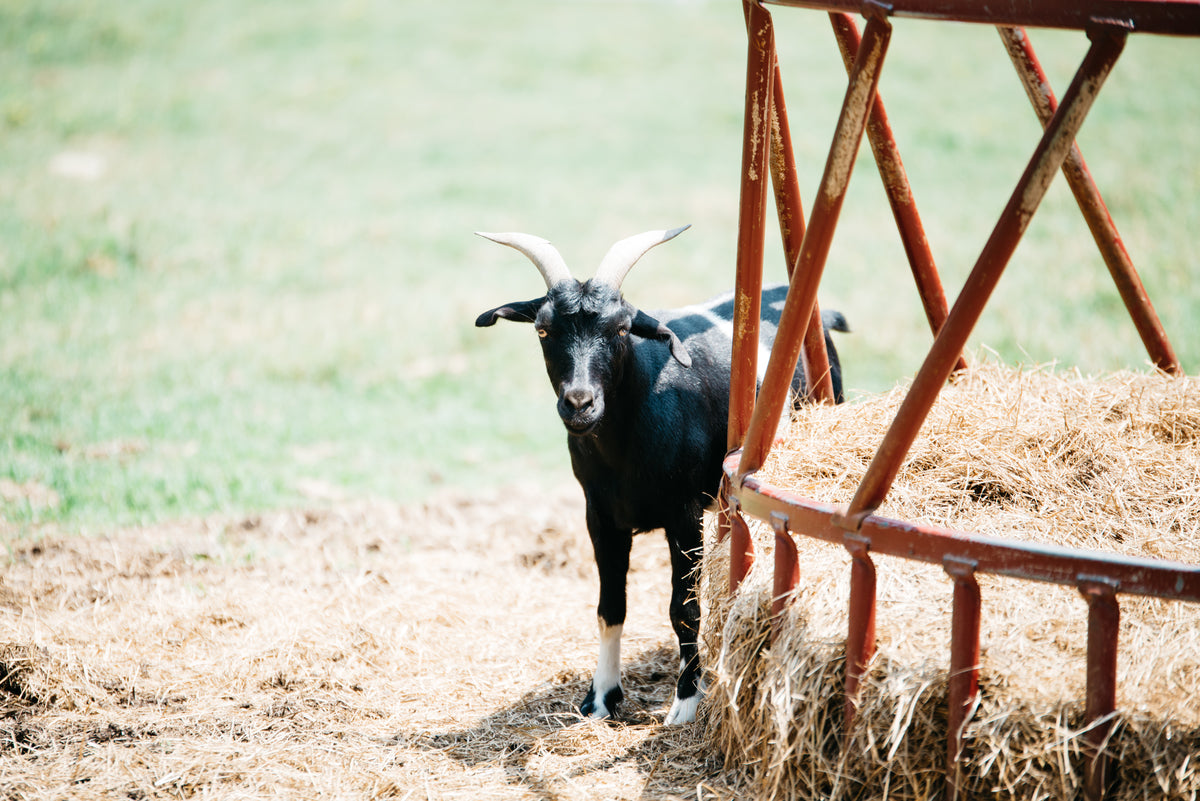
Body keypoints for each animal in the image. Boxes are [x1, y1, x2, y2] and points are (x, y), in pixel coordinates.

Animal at [475, 226, 846, 724]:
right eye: (543, 328)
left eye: (619, 328)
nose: (579, 403)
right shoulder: (600, 516)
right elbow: (610, 607)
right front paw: (600, 699)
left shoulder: (683, 513)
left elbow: (684, 609)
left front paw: (686, 702)